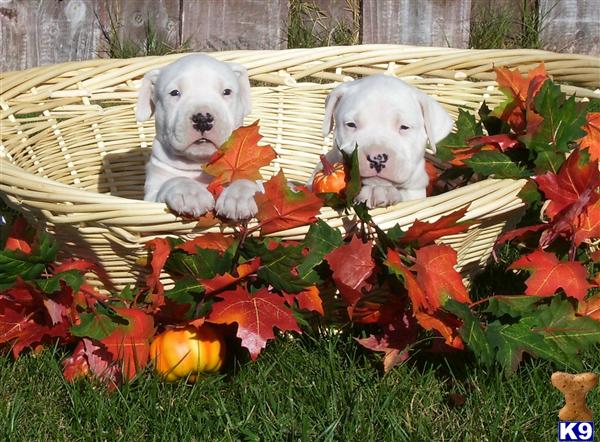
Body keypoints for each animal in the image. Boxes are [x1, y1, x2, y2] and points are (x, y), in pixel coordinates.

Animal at [137, 54, 262, 220]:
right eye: (174, 93)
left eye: (227, 91)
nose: (202, 119)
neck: (200, 165)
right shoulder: (151, 195)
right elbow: (175, 180)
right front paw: (191, 193)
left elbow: (247, 180)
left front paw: (238, 196)